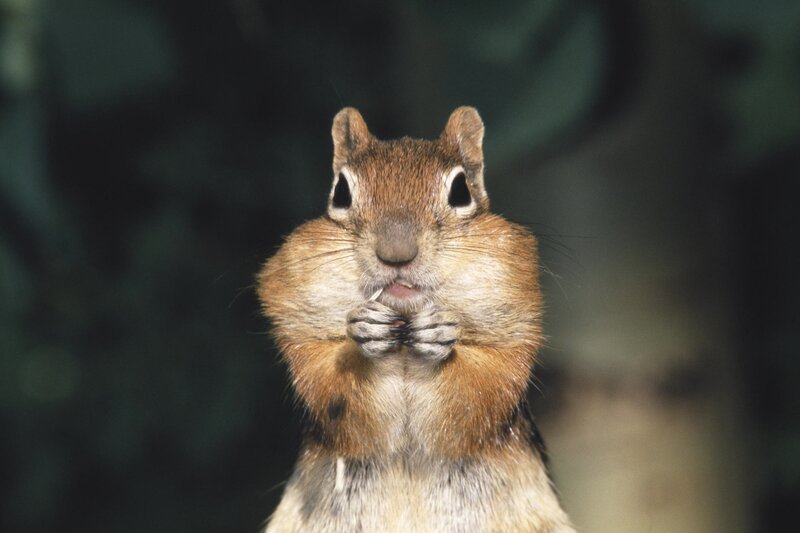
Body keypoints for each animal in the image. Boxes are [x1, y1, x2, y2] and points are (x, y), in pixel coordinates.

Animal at [257, 107, 575, 532]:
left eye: (461, 192)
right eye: (341, 192)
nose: (396, 254)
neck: (403, 348)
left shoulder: (512, 336)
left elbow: (482, 391)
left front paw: (440, 336)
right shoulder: (302, 336)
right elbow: (331, 390)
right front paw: (364, 333)